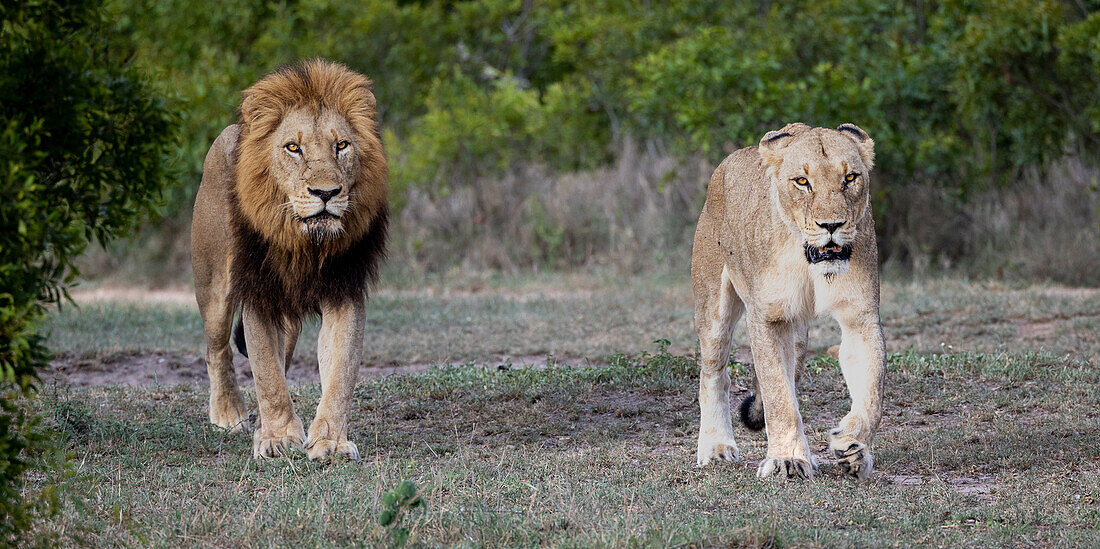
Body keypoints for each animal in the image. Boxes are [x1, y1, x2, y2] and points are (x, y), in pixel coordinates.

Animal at [191, 59, 389, 459]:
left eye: (342, 145)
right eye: (293, 148)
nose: (326, 193)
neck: (307, 244)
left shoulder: (344, 291)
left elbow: (340, 371)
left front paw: (330, 441)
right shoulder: (258, 291)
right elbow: (266, 374)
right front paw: (278, 438)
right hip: (214, 284)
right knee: (217, 349)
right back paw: (228, 414)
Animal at [695, 122, 884, 479]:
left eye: (850, 177)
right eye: (802, 182)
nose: (831, 225)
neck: (807, 260)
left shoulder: (860, 316)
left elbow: (872, 392)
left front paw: (853, 446)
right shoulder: (767, 317)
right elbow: (777, 395)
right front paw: (788, 460)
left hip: (797, 334)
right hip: (713, 307)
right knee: (714, 373)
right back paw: (716, 447)